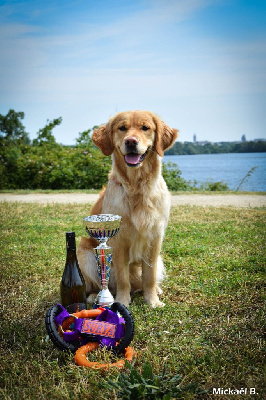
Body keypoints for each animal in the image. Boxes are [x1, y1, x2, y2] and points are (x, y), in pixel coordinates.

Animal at [77, 111, 178, 308]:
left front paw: (153, 300)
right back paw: (94, 296)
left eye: (145, 128)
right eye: (122, 128)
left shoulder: (155, 239)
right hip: (84, 252)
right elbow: (123, 279)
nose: (131, 141)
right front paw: (122, 302)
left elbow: (150, 276)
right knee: (95, 284)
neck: (137, 187)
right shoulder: (118, 241)